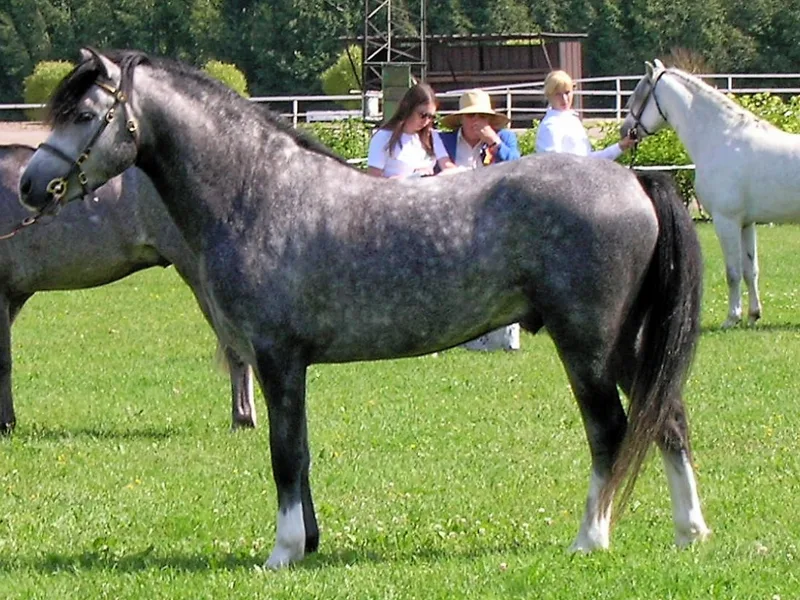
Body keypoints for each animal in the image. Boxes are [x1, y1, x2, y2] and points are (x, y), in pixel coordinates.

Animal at [622, 59, 800, 328]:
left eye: (637, 97)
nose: (624, 132)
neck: (723, 138)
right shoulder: (746, 223)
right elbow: (750, 270)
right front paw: (753, 314)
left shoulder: (726, 221)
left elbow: (733, 272)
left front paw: (732, 318)